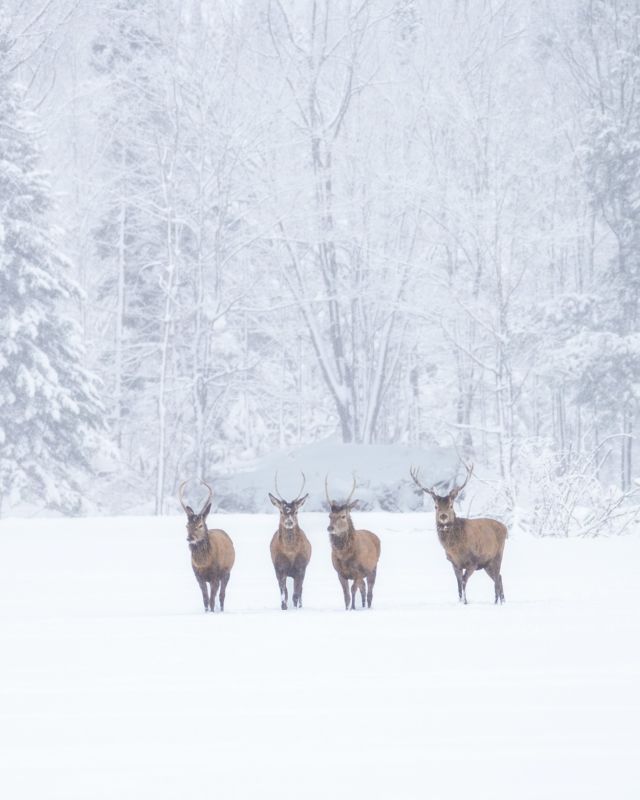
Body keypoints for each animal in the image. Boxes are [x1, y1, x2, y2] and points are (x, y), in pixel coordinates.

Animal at [178, 482, 235, 612]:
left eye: (200, 525)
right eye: (187, 525)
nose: (190, 538)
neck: (203, 563)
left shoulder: (215, 575)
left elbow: (212, 598)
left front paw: (212, 612)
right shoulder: (198, 576)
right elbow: (205, 598)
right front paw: (206, 611)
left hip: (227, 572)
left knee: (222, 595)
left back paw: (222, 609)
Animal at [268, 472, 312, 608]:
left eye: (296, 511)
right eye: (281, 511)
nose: (289, 522)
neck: (290, 552)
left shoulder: (301, 567)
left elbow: (296, 594)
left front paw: (297, 607)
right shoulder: (279, 568)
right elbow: (284, 593)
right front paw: (284, 607)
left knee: (300, 591)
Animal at [324, 476, 380, 612]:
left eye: (343, 516)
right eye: (330, 515)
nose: (330, 528)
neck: (344, 557)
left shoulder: (358, 572)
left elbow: (353, 590)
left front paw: (353, 608)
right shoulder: (340, 573)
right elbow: (346, 594)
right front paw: (347, 608)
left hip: (373, 568)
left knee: (369, 590)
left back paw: (368, 606)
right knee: (363, 588)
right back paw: (363, 605)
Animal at [408, 466, 508, 604]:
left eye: (451, 505)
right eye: (436, 506)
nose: (443, 516)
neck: (456, 549)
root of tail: (505, 528)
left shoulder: (472, 562)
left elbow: (464, 581)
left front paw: (466, 602)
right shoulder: (454, 563)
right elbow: (459, 584)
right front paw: (461, 601)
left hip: (497, 556)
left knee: (497, 578)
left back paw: (499, 602)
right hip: (487, 563)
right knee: (499, 577)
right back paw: (499, 601)